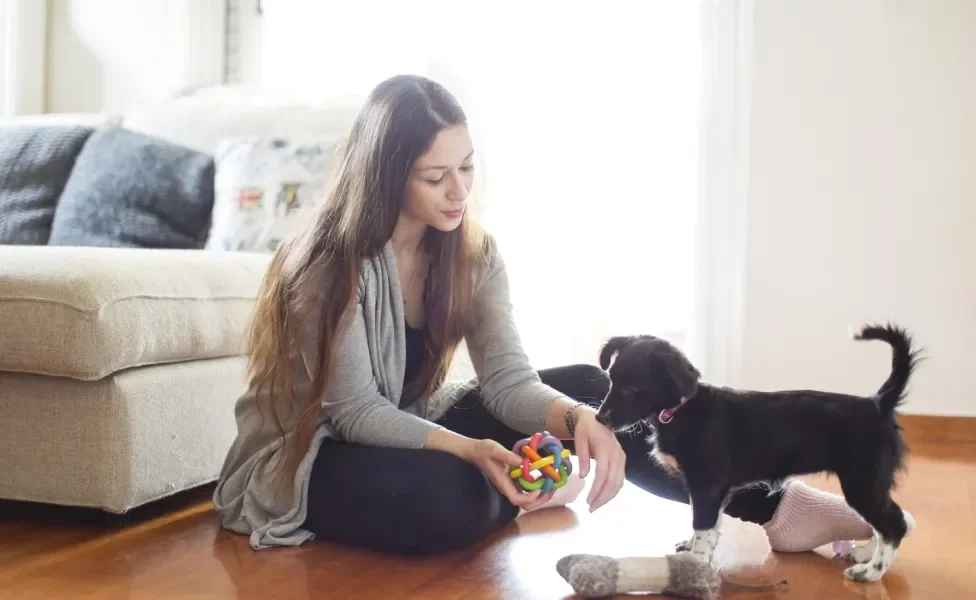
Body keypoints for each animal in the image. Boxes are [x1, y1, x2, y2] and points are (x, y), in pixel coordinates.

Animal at [592, 324, 920, 580]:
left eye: (633, 388)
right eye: (611, 380)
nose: (599, 418)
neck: (681, 410)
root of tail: (878, 402)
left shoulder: (707, 485)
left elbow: (703, 523)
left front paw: (695, 564)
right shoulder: (713, 489)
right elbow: (709, 525)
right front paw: (694, 549)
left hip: (861, 481)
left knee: (894, 523)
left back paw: (871, 572)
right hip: (867, 484)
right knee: (887, 522)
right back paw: (865, 554)